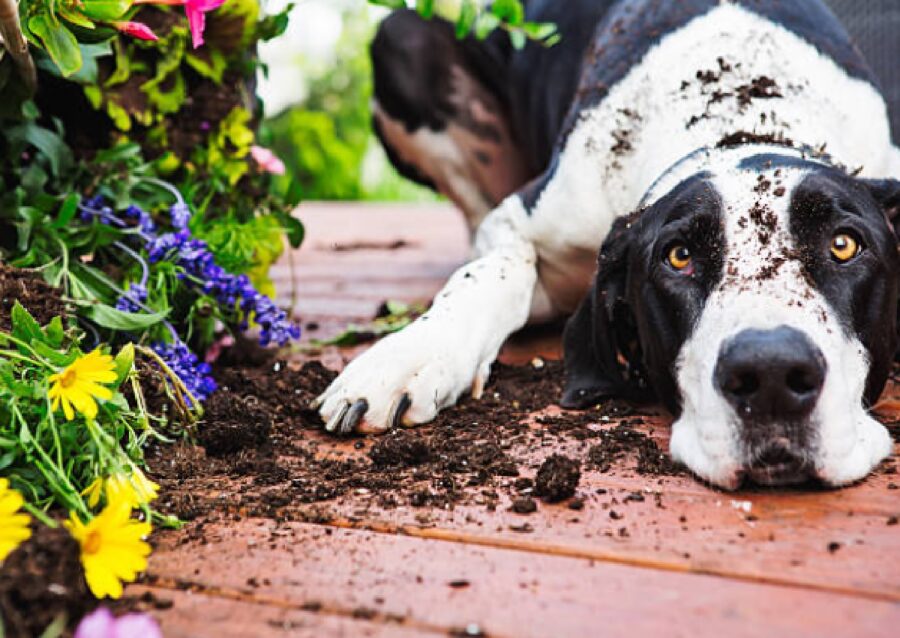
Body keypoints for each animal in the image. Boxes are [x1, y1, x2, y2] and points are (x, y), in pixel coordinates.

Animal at [312, 1, 900, 490]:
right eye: (679, 257)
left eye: (844, 245)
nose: (772, 375)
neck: (742, 116)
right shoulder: (521, 221)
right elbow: (492, 273)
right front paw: (411, 355)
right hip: (402, 40)